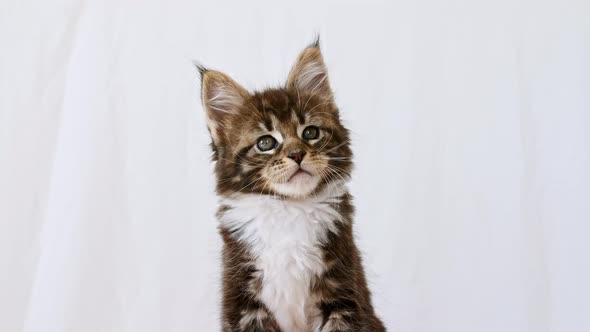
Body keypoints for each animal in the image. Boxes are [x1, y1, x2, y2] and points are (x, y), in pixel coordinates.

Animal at [197, 39, 386, 332]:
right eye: (265, 142)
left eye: (310, 132)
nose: (297, 154)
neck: (289, 209)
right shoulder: (243, 302)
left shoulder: (344, 297)